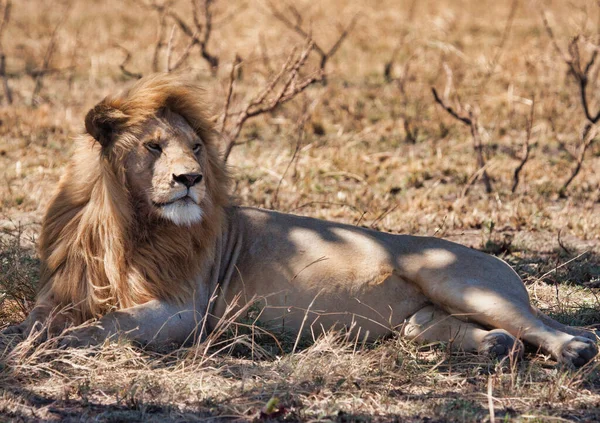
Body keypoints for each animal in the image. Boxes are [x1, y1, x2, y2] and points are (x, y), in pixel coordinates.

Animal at [3, 73, 596, 368]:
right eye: (153, 146)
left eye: (195, 147)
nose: (191, 178)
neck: (126, 225)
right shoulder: (69, 288)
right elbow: (40, 318)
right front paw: (23, 337)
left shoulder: (183, 310)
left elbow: (108, 326)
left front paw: (53, 344)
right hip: (421, 320)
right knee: (460, 330)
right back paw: (495, 348)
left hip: (457, 278)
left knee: (553, 327)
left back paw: (572, 351)